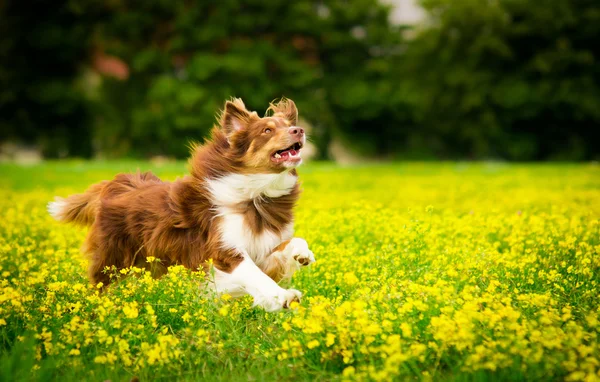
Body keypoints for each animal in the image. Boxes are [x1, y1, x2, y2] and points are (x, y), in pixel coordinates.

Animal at [48, 97, 314, 310]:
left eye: (288, 126)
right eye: (267, 130)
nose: (299, 130)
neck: (257, 196)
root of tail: (116, 183)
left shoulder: (263, 252)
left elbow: (291, 244)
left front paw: (302, 254)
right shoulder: (225, 251)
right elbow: (255, 276)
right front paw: (282, 297)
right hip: (112, 260)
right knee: (100, 285)